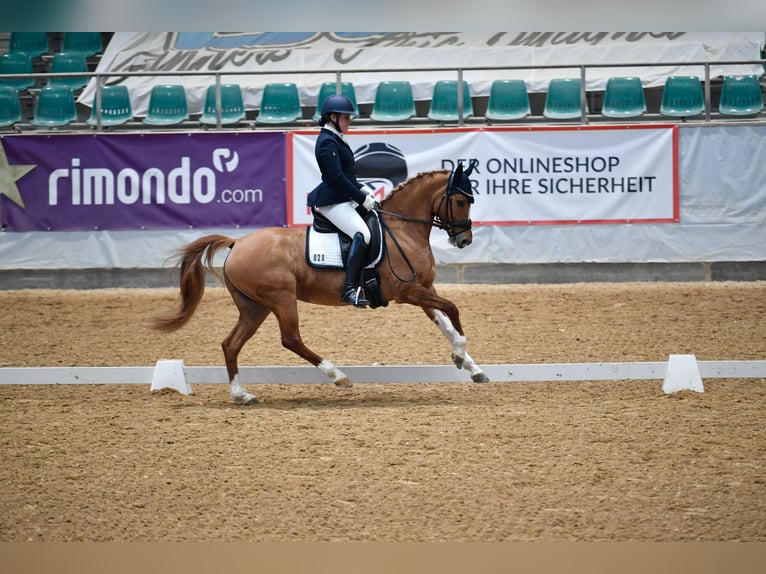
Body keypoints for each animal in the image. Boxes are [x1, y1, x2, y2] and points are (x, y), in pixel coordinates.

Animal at [152, 160, 488, 408]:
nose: (464, 240)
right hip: (281, 298)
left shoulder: (424, 290)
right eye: (460, 200)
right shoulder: (409, 292)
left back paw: (242, 395)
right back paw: (337, 375)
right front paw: (460, 356)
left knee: (231, 344)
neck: (403, 230)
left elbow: (446, 324)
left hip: (254, 307)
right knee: (290, 339)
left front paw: (472, 367)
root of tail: (237, 243)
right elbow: (453, 310)